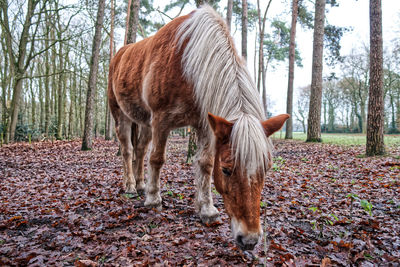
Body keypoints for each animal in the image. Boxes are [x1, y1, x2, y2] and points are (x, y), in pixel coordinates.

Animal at [108, 4, 290, 251]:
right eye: (226, 170)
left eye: (266, 169)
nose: (250, 240)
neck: (186, 64)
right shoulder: (161, 120)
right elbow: (157, 159)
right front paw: (154, 199)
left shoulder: (205, 123)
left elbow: (205, 164)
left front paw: (206, 209)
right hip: (121, 114)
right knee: (128, 150)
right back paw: (129, 185)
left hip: (144, 122)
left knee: (140, 150)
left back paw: (140, 185)